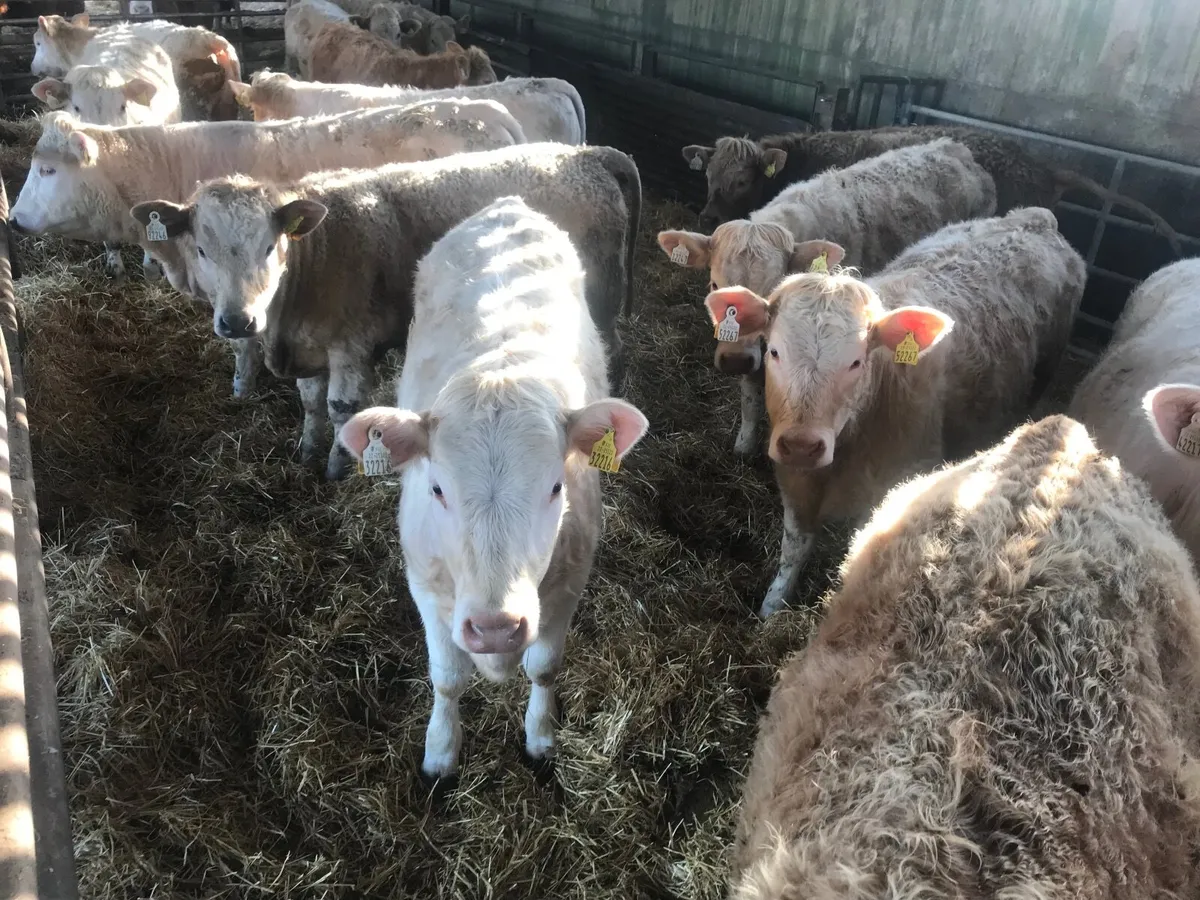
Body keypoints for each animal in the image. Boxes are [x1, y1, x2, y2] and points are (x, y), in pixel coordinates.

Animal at [126, 142, 641, 480]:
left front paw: (335, 470)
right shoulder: (311, 347)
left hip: (601, 297)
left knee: (610, 348)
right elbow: (310, 403)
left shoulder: (351, 347)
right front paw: (307, 452)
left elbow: (341, 410)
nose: (239, 322)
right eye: (202, 250)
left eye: (269, 246)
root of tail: (583, 154)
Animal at [337, 196, 648, 777]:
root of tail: (507, 205)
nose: (496, 628)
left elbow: (544, 667)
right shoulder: (425, 585)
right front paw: (440, 749)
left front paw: (541, 736)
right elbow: (447, 678)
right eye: (437, 489)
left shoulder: (569, 583)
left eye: (556, 486)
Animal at [660, 138, 997, 457]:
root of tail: (954, 147)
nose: (734, 360)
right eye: (715, 284)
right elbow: (751, 394)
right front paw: (745, 442)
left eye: (772, 288)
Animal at [702, 207, 1084, 618]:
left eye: (856, 362)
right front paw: (773, 604)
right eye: (774, 350)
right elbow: (794, 546)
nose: (802, 445)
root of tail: (1033, 217)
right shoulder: (794, 478)